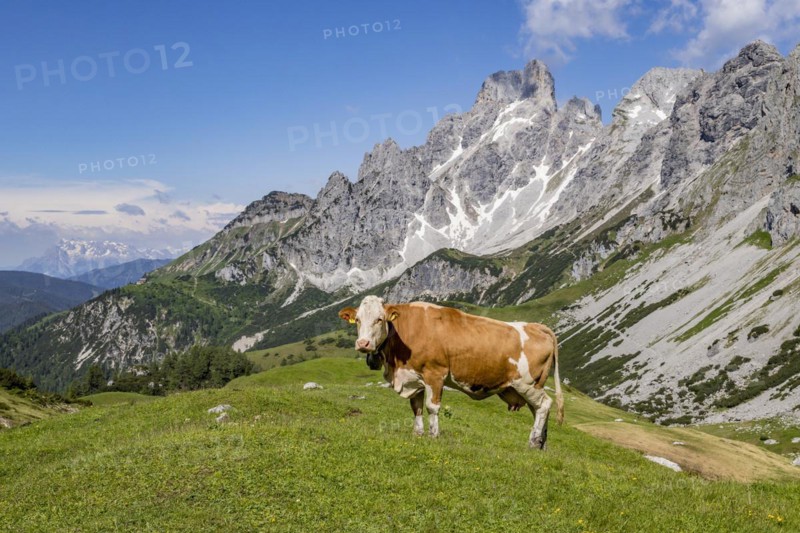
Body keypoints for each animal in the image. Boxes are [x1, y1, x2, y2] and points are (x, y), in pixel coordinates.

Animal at [338, 296, 564, 449]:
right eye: (357, 320)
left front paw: (433, 435)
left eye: (379, 319)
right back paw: (541, 443)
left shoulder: (435, 374)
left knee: (545, 405)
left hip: (527, 383)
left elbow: (432, 407)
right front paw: (417, 434)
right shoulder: (414, 378)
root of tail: (537, 326)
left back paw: (533, 442)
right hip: (531, 386)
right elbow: (416, 407)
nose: (363, 344)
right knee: (539, 409)